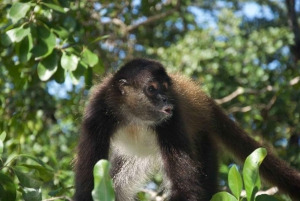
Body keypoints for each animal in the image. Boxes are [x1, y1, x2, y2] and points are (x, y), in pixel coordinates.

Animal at [74, 58, 300, 201]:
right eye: (151, 89)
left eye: (165, 88)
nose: (165, 99)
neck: (134, 118)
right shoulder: (97, 112)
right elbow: (87, 188)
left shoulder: (172, 119)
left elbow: (186, 190)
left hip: (203, 140)